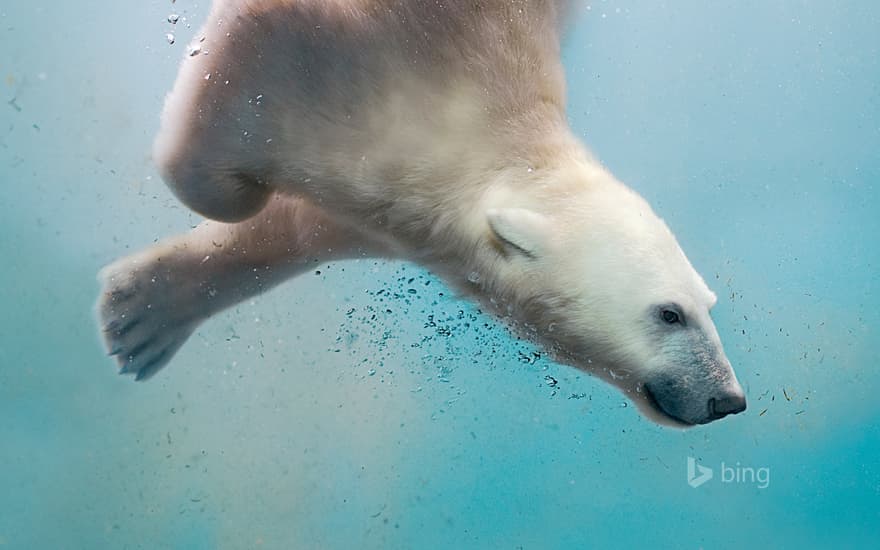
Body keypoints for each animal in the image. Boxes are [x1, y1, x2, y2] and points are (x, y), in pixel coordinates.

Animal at [96, 0, 744, 426]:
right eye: (669, 314)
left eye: (707, 304)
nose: (728, 400)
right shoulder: (339, 51)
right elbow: (229, 167)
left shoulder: (397, 202)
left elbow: (310, 224)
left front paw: (141, 316)